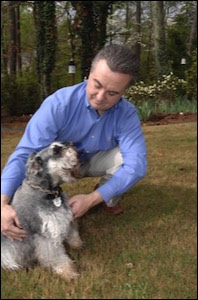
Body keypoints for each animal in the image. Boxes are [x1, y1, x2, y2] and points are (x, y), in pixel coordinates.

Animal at [0, 142, 83, 280]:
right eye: (56, 151)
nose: (73, 145)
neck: (47, 192)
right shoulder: (47, 234)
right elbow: (56, 257)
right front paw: (69, 272)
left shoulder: (66, 218)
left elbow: (73, 234)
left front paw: (77, 244)